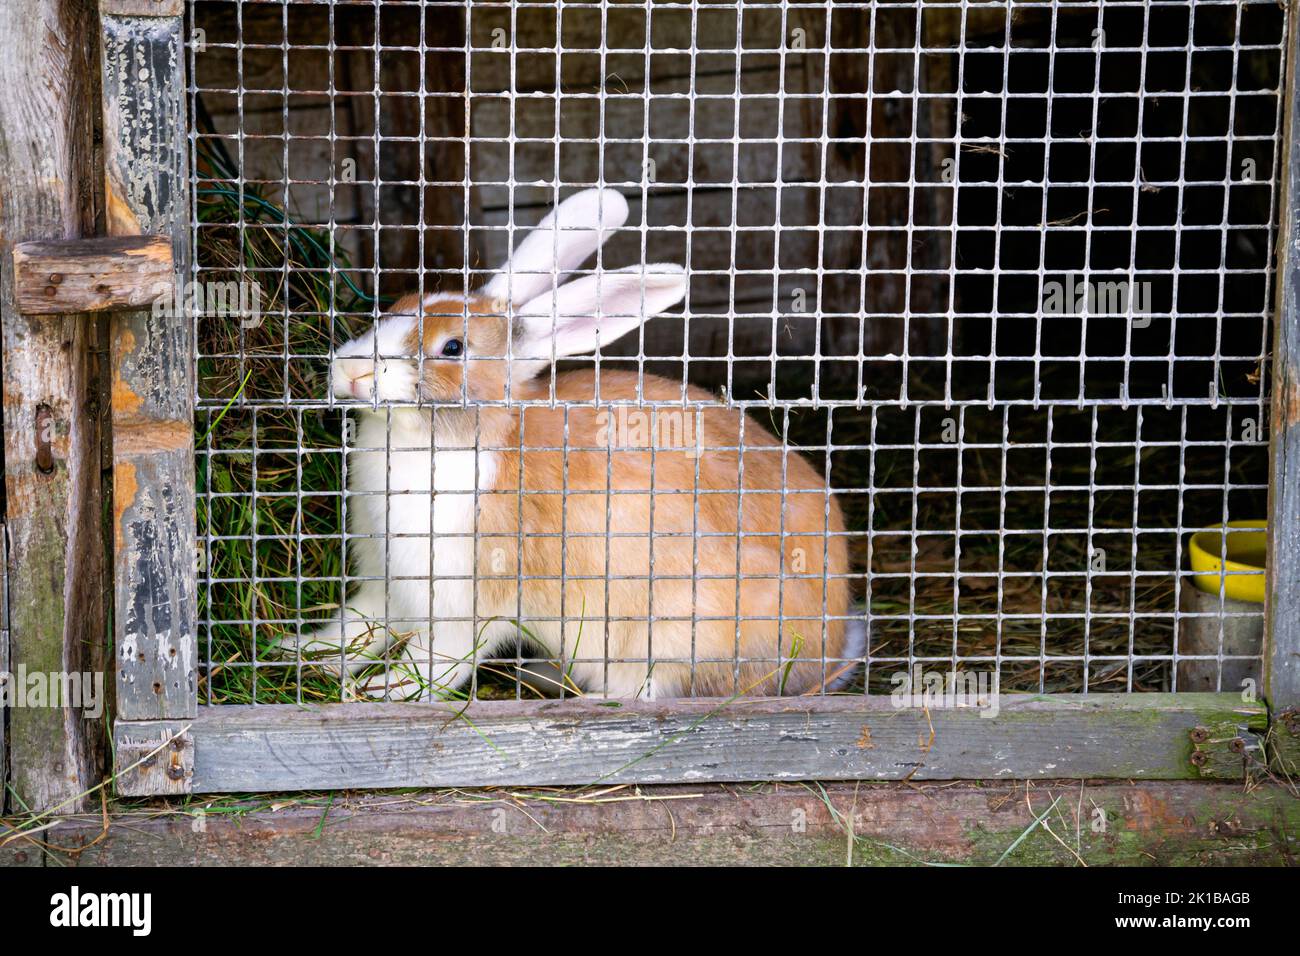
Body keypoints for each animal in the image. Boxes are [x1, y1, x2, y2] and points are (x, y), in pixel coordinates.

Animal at [276, 187, 863, 697]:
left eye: (452, 347)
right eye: (397, 304)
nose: (349, 369)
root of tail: (828, 653)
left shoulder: (469, 601)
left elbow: (440, 661)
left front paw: (383, 690)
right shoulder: (386, 582)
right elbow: (357, 623)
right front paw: (299, 650)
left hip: (675, 630)